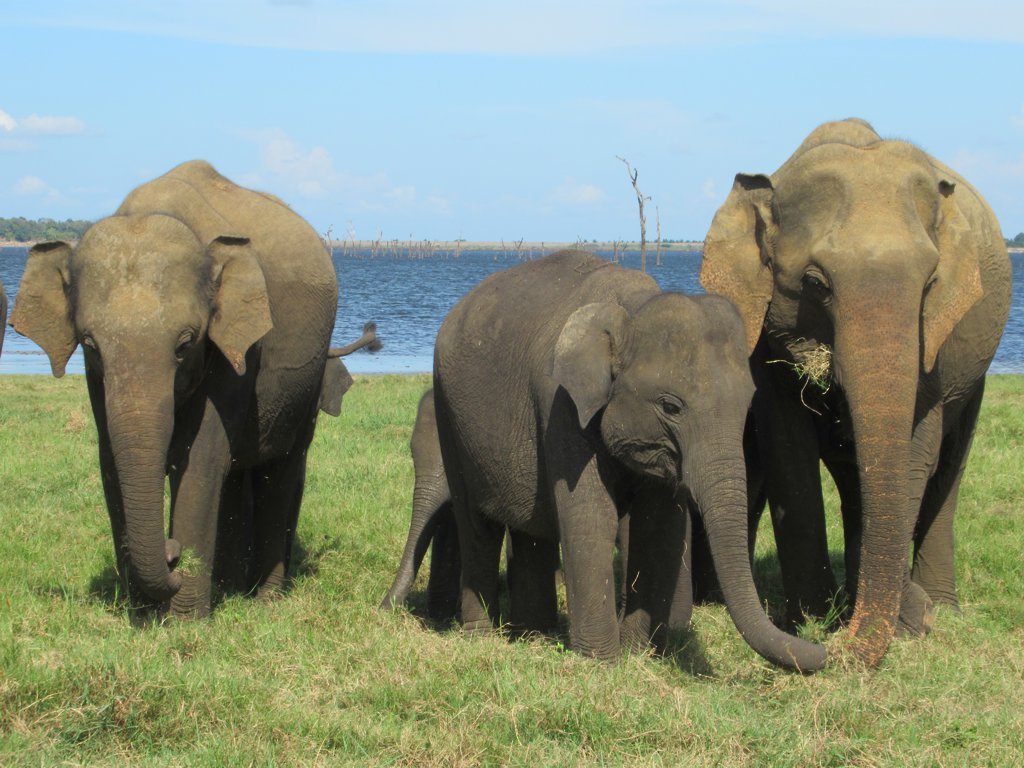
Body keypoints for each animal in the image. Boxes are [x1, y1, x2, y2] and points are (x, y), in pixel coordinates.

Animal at [10, 160, 342, 618]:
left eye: (185, 345)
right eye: (90, 345)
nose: (172, 554)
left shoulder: (238, 347)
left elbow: (201, 458)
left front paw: (185, 620)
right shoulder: (97, 378)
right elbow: (111, 459)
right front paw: (141, 614)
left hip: (307, 382)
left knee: (282, 466)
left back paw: (265, 600)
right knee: (236, 473)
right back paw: (229, 588)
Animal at [432, 250, 826, 671]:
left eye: (748, 402)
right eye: (670, 406)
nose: (822, 650)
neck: (633, 309)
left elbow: (659, 527)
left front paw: (639, 656)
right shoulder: (562, 403)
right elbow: (592, 518)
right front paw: (601, 664)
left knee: (530, 531)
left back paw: (533, 635)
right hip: (448, 412)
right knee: (476, 526)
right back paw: (481, 637)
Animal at [700, 118, 1012, 666]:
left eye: (930, 283)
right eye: (814, 283)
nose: (837, 648)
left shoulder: (936, 346)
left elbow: (915, 452)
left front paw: (903, 622)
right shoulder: (763, 334)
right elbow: (789, 452)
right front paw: (809, 618)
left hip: (976, 370)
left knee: (950, 467)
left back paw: (939, 606)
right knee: (853, 479)